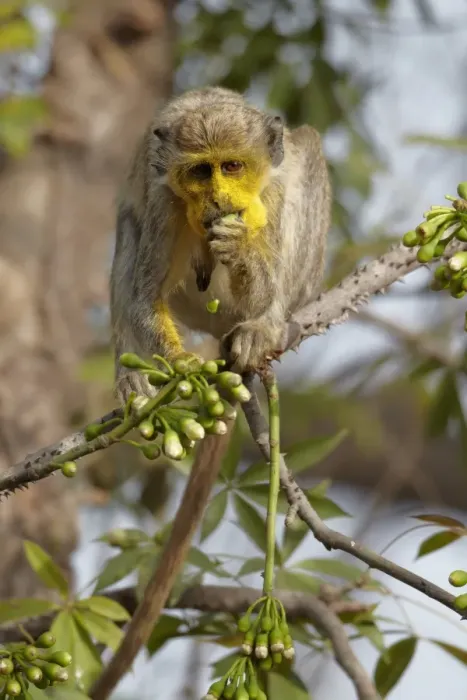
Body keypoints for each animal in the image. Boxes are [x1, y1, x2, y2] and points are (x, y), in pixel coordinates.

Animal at [110, 86, 331, 404]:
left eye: (232, 166)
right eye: (200, 171)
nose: (217, 198)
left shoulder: (272, 188)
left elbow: (265, 294)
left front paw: (239, 250)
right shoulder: (163, 200)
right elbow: (146, 297)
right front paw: (180, 362)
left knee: (310, 143)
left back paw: (263, 329)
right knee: (129, 229)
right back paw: (130, 375)